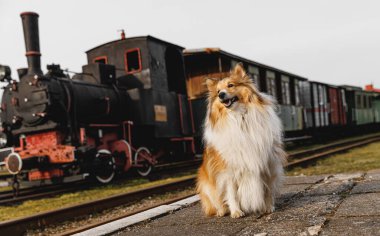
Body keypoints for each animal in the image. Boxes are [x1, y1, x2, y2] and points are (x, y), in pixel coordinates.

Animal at [197, 62, 286, 218]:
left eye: (231, 85)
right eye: (218, 90)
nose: (221, 95)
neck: (239, 117)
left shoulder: (267, 163)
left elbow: (267, 189)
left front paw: (268, 207)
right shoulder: (228, 169)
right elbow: (231, 192)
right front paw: (236, 211)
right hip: (207, 184)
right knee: (215, 202)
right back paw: (221, 211)